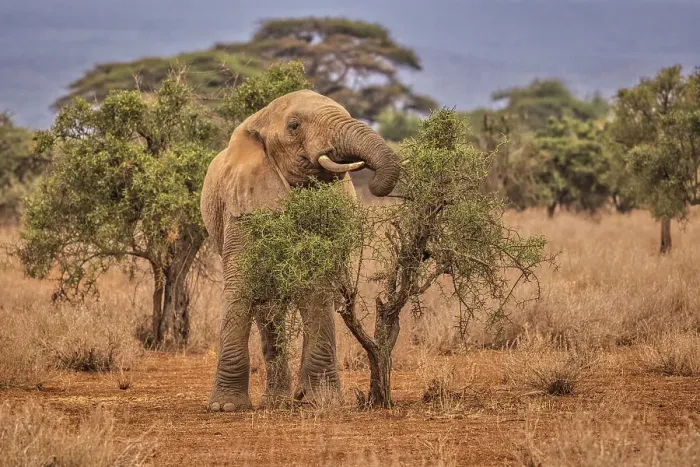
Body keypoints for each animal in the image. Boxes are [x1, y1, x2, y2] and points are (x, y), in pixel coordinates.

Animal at [200, 89, 400, 411]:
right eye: (294, 126)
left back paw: (285, 400)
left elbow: (315, 287)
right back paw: (277, 401)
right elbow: (241, 281)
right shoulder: (240, 206)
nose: (372, 182)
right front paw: (225, 408)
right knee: (267, 307)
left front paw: (321, 401)